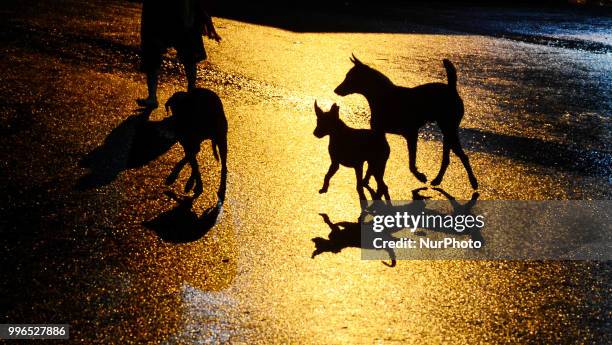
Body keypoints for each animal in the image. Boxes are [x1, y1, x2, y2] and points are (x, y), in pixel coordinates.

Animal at [334, 54, 478, 188]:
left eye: (350, 77)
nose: (336, 90)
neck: (382, 96)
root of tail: (451, 88)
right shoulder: (380, 134)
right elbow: (374, 161)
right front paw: (366, 179)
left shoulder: (411, 134)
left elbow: (411, 162)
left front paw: (419, 176)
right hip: (447, 131)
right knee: (448, 157)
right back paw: (438, 179)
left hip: (449, 130)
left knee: (462, 156)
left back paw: (473, 181)